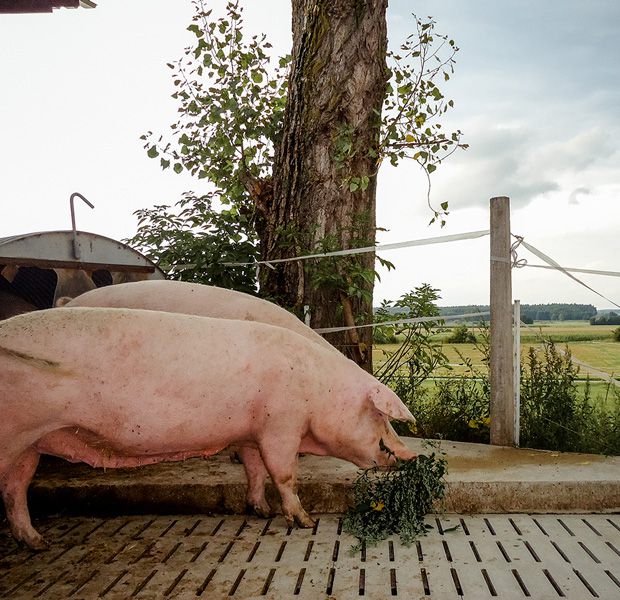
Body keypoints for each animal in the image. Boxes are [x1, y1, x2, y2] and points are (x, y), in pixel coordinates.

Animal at [2, 310, 416, 548]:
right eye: (380, 417)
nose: (413, 455)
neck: (318, 389)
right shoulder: (280, 426)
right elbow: (284, 474)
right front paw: (305, 522)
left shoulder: (251, 432)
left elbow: (254, 469)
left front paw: (260, 511)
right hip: (13, 434)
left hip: (29, 445)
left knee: (14, 489)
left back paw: (37, 543)